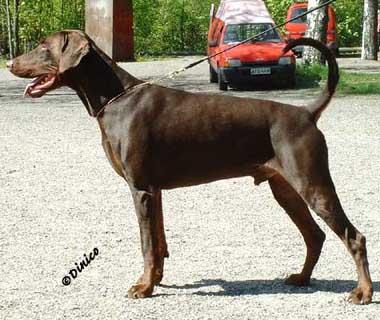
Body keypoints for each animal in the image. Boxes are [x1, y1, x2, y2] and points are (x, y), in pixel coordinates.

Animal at [6, 30, 374, 304]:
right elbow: (158, 242)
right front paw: (155, 281)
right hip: (284, 188)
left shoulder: (140, 188)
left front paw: (143, 287)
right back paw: (301, 278)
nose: (9, 62)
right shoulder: (153, 190)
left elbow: (147, 244)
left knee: (353, 236)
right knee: (315, 235)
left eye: (43, 46)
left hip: (312, 183)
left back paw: (363, 293)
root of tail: (306, 112)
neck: (115, 100)